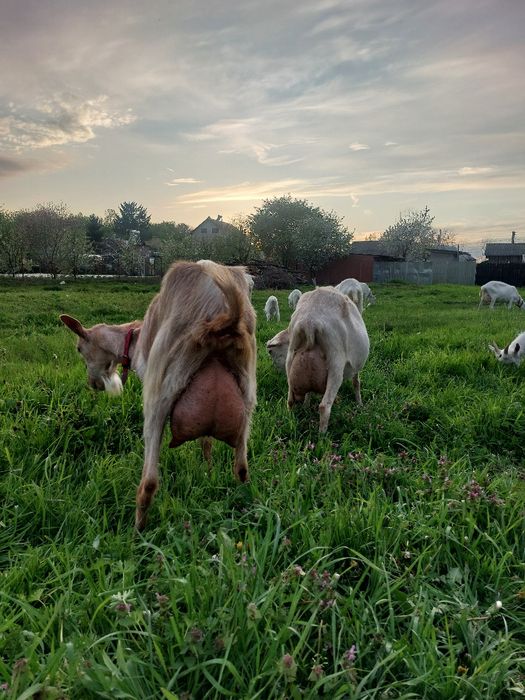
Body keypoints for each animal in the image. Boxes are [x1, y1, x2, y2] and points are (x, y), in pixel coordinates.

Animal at [60, 260, 256, 530]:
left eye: (80, 349)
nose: (93, 384)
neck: (134, 338)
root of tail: (224, 314)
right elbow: (206, 441)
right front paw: (208, 470)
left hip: (160, 391)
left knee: (149, 482)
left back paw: (138, 531)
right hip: (247, 392)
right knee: (242, 469)